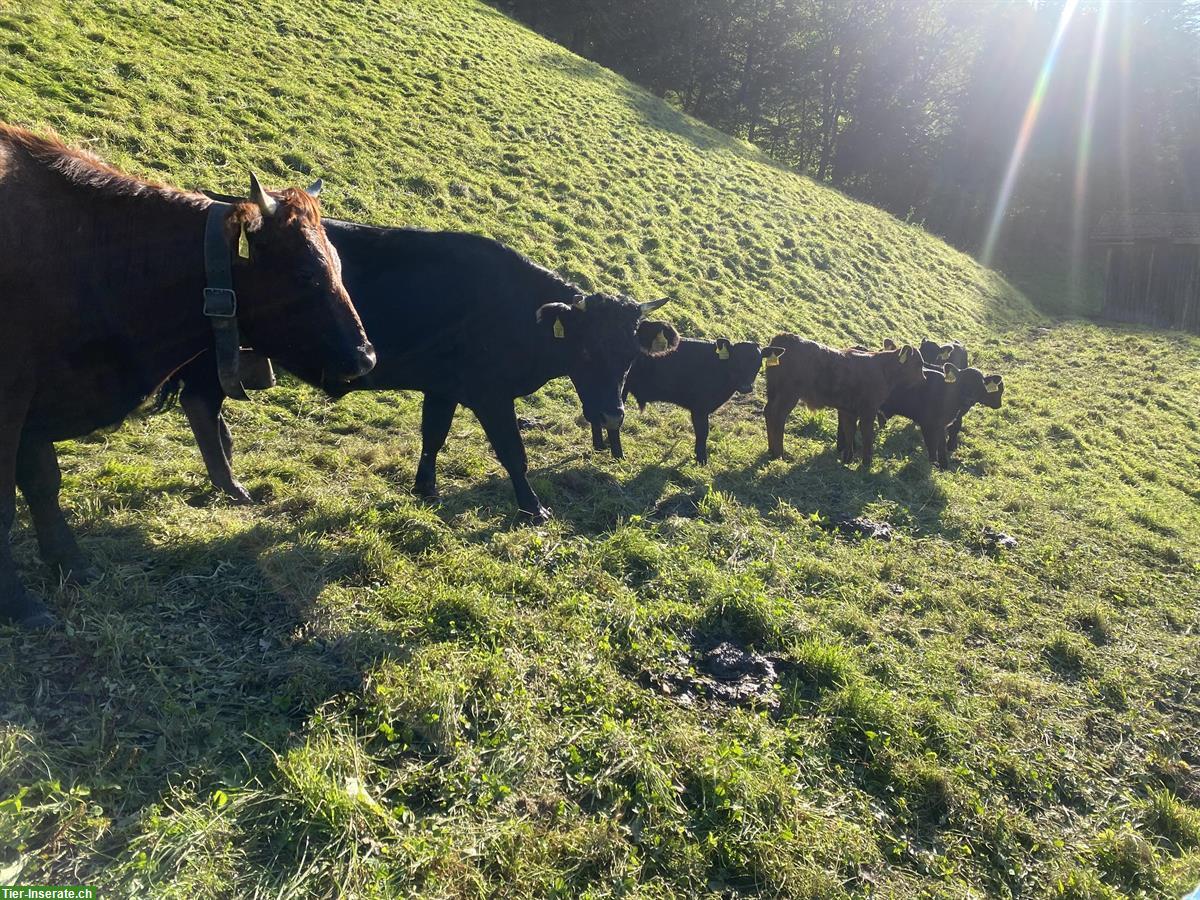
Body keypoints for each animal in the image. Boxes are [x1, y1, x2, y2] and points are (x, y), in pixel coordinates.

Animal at [0, 121, 374, 628]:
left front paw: (71, 564)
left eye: (336, 264)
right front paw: (20, 603)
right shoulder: (13, 402)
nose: (365, 357)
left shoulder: (36, 405)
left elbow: (43, 483)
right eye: (304, 275)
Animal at [164, 218, 681, 525]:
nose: (612, 416)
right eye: (587, 350)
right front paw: (533, 507)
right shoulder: (490, 394)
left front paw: (425, 488)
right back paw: (231, 485)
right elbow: (514, 453)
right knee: (200, 403)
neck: (513, 311)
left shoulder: (443, 386)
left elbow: (434, 435)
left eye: (630, 354)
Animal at [592, 338, 787, 465]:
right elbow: (703, 432)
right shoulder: (699, 407)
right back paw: (618, 455)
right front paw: (702, 460)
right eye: (736, 361)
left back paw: (599, 446)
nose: (746, 387)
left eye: (758, 363)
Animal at [763, 336, 921, 468]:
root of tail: (785, 337)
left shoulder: (848, 410)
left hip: (774, 392)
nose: (923, 378)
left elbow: (849, 431)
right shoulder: (868, 410)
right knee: (777, 416)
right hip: (787, 395)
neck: (883, 369)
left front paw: (847, 459)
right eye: (918, 364)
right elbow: (867, 435)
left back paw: (771, 451)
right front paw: (866, 464)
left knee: (768, 412)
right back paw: (779, 455)